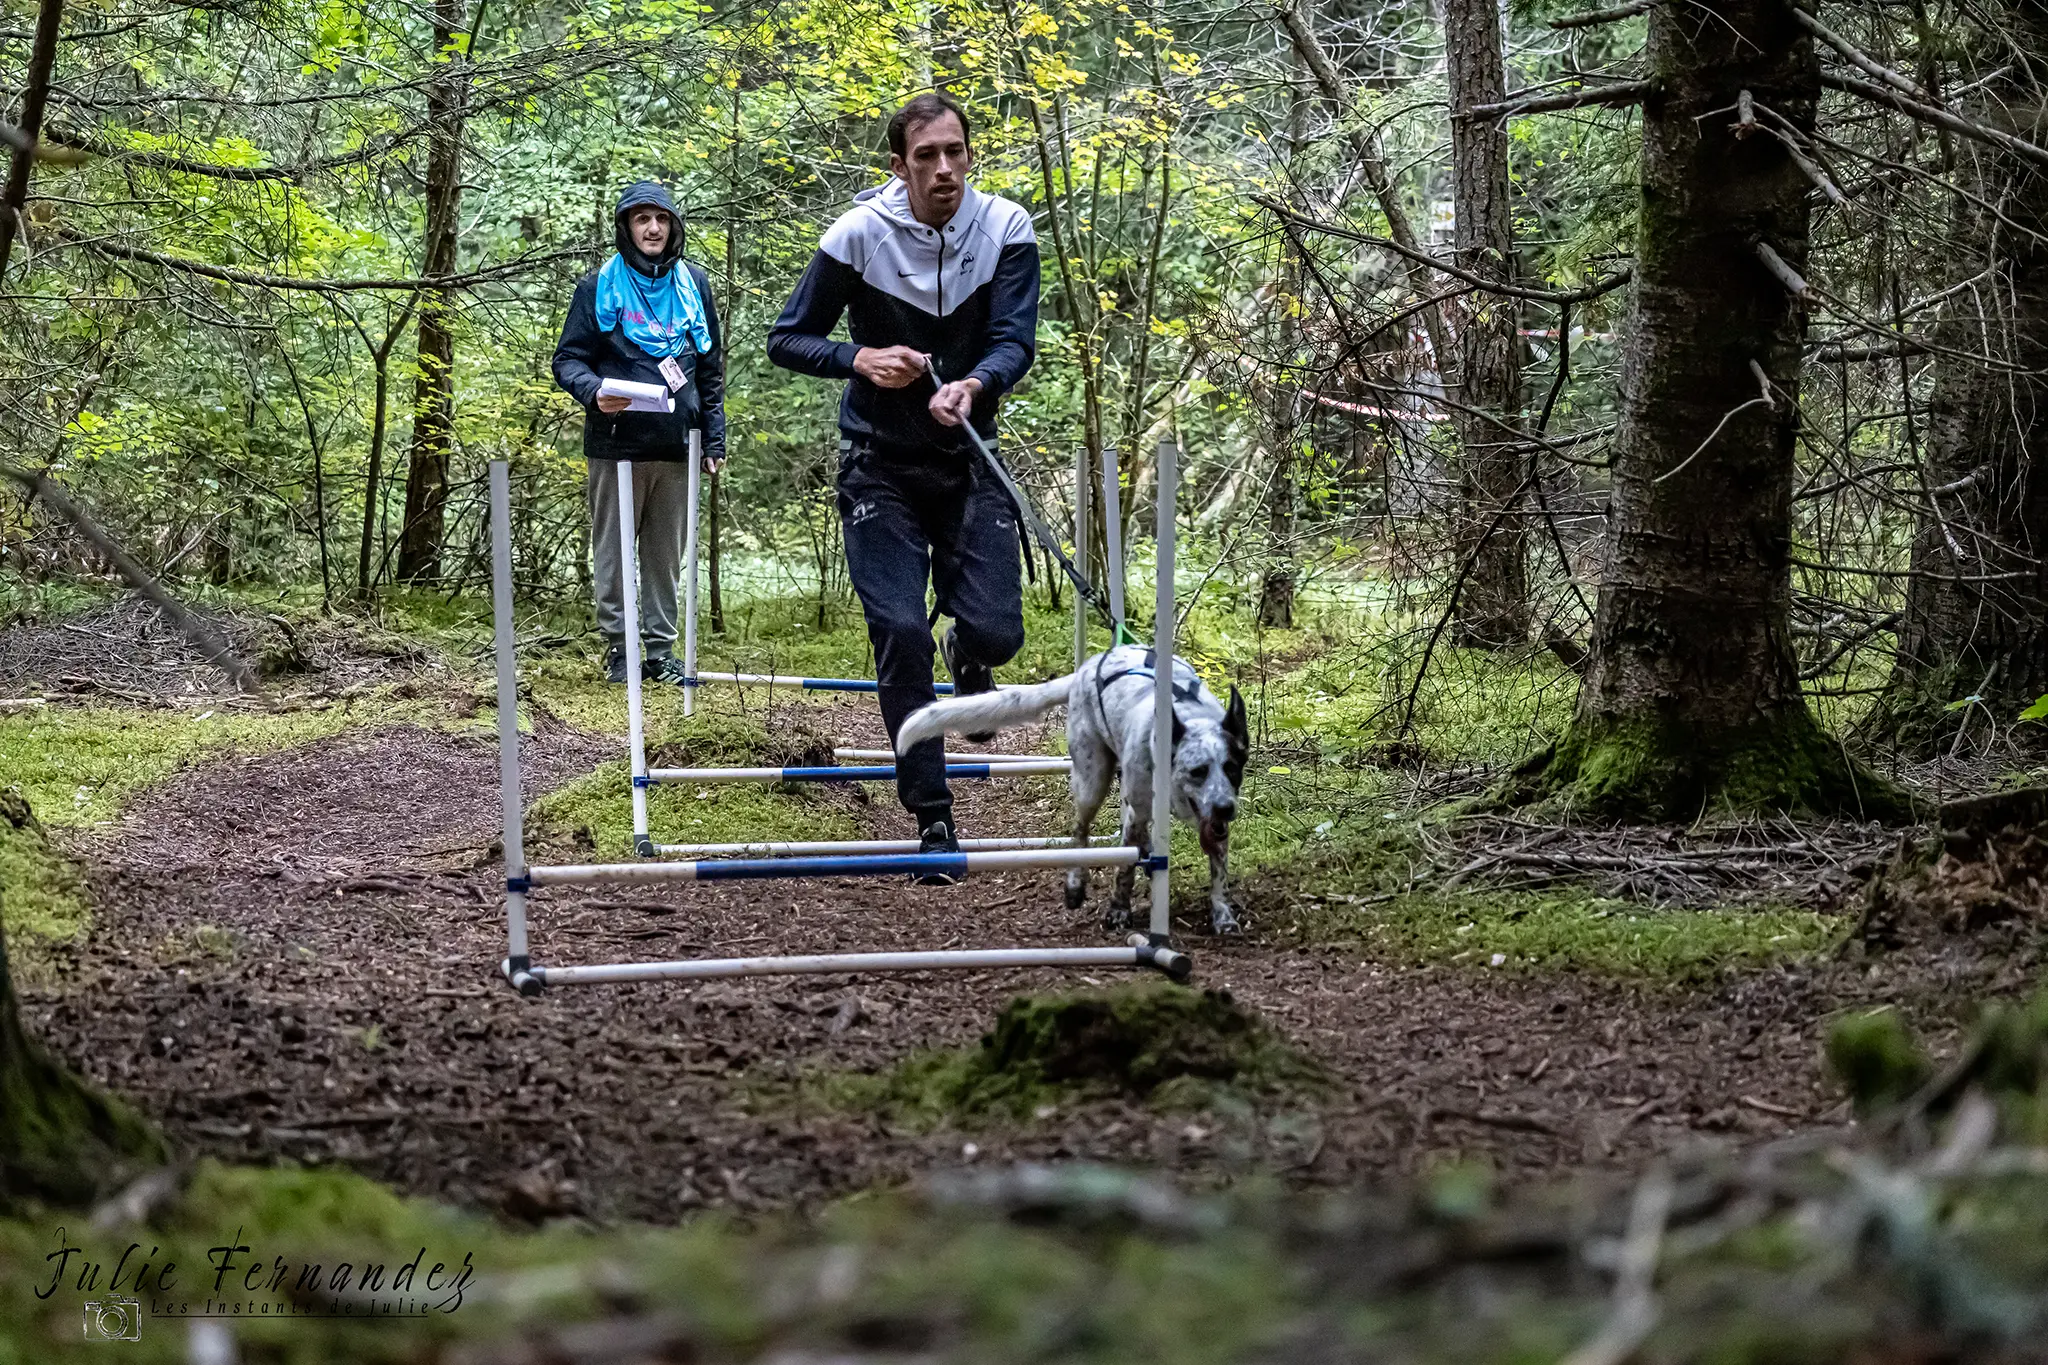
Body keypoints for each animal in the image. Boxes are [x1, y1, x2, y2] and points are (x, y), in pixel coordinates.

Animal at [897, 646, 1245, 933]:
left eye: (1232, 768)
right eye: (1197, 771)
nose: (1226, 808)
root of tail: (1087, 668)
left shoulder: (1213, 824)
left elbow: (1219, 870)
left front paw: (1223, 914)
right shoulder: (1140, 805)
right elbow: (1124, 867)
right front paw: (1118, 910)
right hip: (1092, 781)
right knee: (1080, 831)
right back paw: (1077, 883)